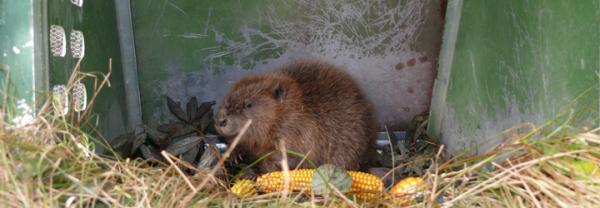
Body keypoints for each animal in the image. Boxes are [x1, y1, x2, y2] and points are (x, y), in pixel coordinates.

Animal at [213, 59, 378, 174]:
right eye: (227, 98)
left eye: (248, 104)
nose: (220, 120)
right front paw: (234, 155)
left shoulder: (298, 130)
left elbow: (294, 156)